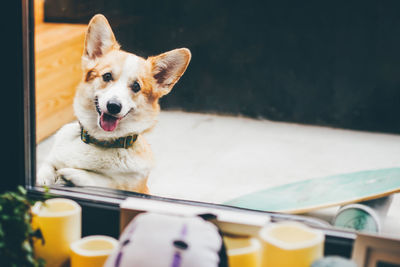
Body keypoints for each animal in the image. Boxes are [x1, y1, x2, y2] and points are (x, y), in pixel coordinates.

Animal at [36, 14, 191, 194]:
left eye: (136, 86)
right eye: (107, 76)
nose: (114, 106)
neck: (99, 141)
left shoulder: (132, 186)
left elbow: (104, 181)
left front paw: (73, 173)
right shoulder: (51, 159)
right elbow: (46, 166)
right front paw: (45, 178)